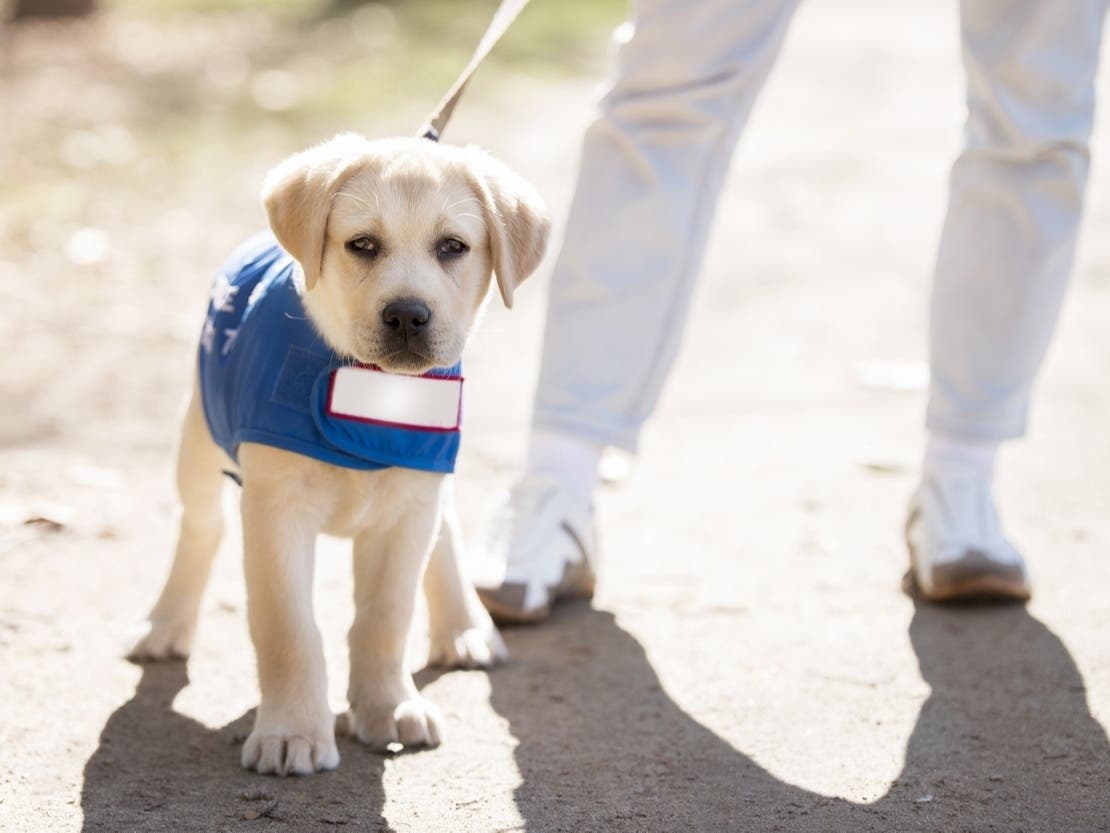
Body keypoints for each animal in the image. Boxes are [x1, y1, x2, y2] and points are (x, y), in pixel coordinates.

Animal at [129, 133, 550, 781]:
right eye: (363, 245)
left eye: (453, 247)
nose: (406, 314)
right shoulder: (275, 511)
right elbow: (289, 629)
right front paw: (292, 732)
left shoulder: (408, 504)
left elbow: (384, 620)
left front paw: (389, 707)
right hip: (198, 438)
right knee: (201, 526)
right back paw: (165, 624)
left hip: (428, 477)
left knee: (446, 531)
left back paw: (463, 628)